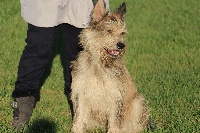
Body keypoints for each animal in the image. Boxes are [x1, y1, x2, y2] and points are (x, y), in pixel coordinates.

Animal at [70, 0, 150, 132]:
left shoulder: (115, 97)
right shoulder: (82, 94)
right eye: (109, 31)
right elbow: (78, 120)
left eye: (122, 33)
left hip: (137, 103)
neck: (100, 64)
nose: (121, 45)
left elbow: (114, 123)